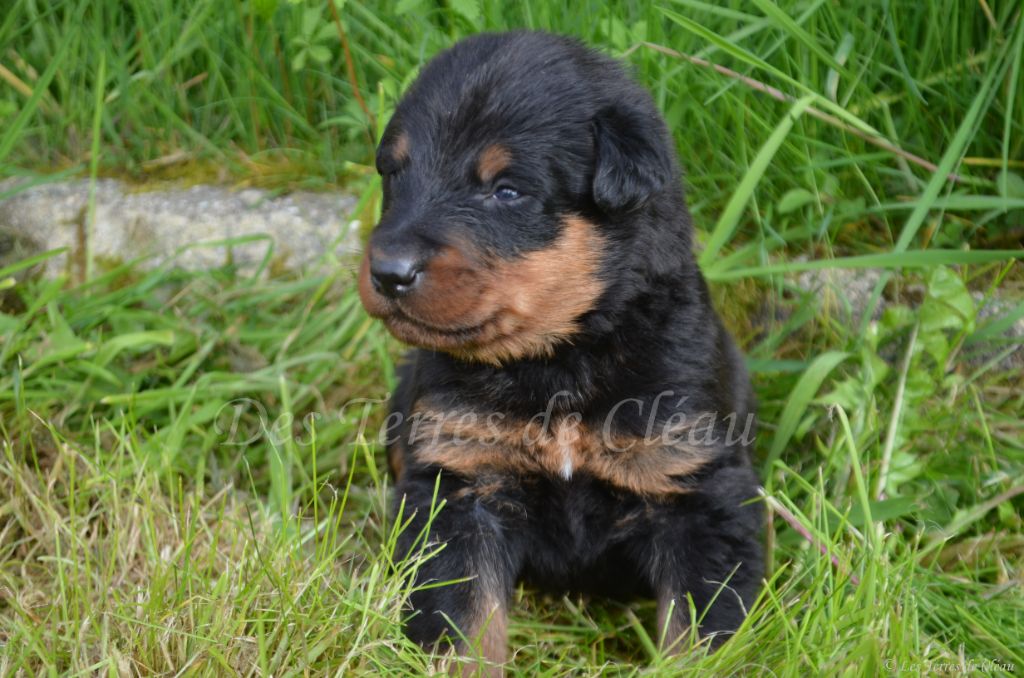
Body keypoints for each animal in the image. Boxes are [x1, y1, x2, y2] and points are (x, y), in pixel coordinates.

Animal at [358, 31, 763, 673]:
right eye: (394, 175)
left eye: (507, 191)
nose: (388, 271)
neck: (560, 361)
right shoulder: (460, 482)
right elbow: (462, 620)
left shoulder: (694, 486)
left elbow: (700, 631)